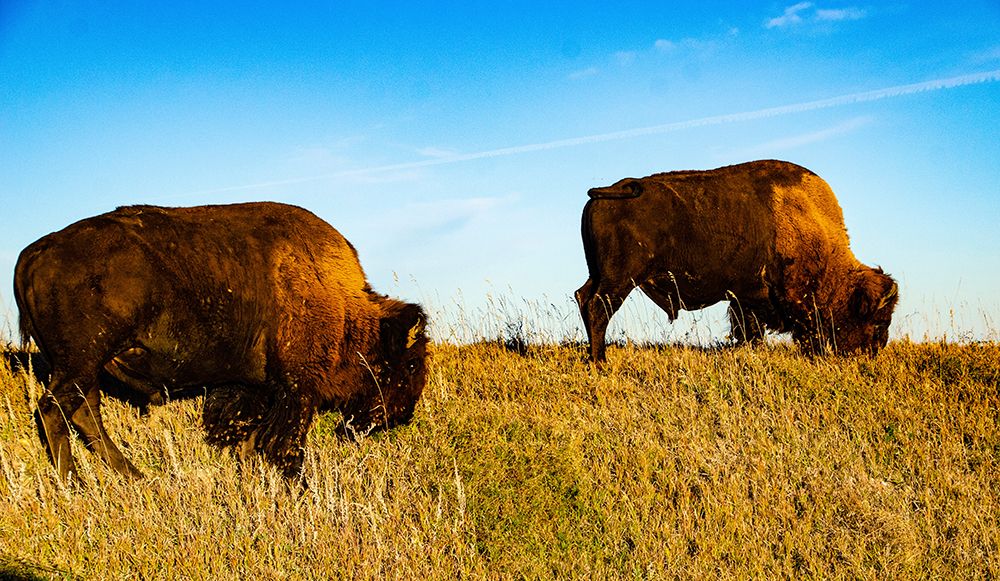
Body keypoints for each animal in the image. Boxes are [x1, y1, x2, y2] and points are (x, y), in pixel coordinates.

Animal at [15, 202, 428, 481]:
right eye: (410, 365)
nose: (402, 415)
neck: (340, 300)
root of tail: (35, 252)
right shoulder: (297, 389)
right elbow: (285, 442)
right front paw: (294, 485)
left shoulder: (257, 387)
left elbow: (247, 436)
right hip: (81, 362)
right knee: (54, 409)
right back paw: (74, 484)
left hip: (84, 368)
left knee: (85, 412)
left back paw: (131, 475)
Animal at [576, 160, 898, 363]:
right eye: (878, 320)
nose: (872, 352)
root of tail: (610, 190)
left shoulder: (746, 298)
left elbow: (749, 330)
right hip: (619, 279)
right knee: (598, 308)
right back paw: (600, 361)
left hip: (599, 273)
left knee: (583, 297)